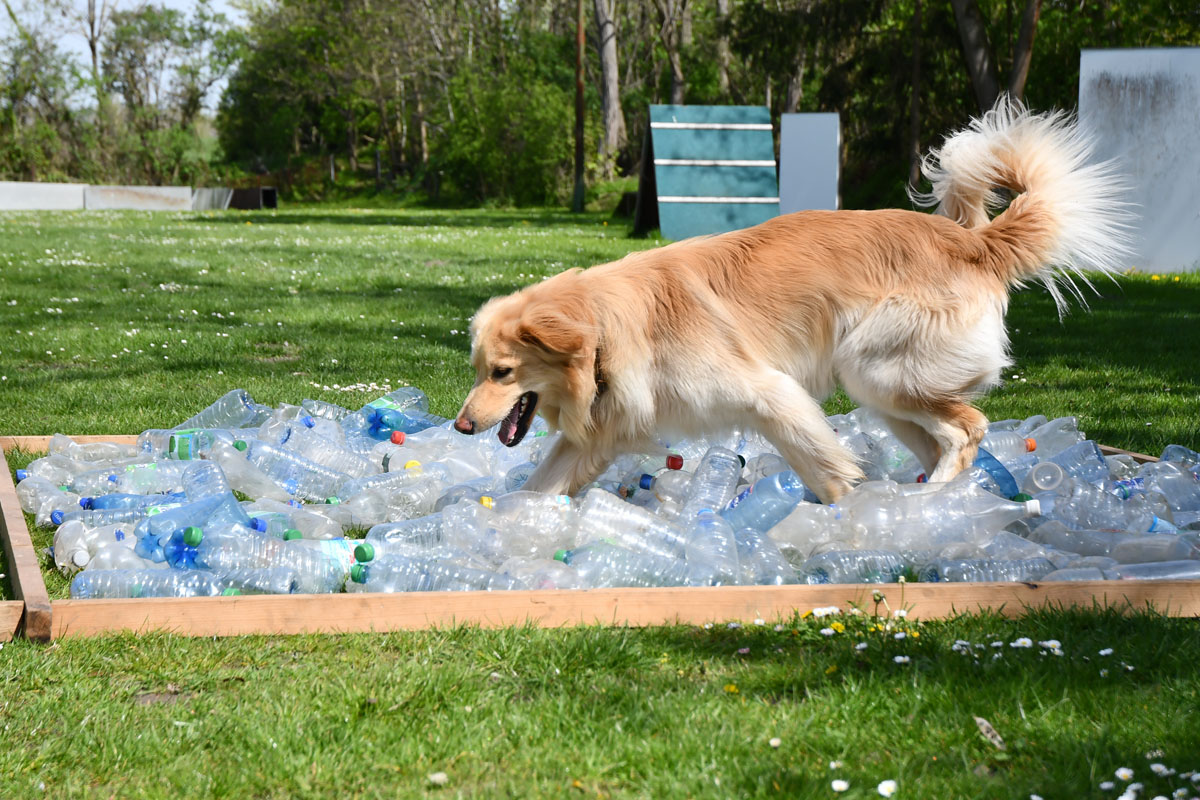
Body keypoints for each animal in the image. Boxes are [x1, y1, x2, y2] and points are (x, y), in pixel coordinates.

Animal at [453, 98, 1128, 501]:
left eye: (502, 372)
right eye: (480, 370)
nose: (460, 426)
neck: (603, 336)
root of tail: (973, 241)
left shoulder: (770, 394)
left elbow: (823, 466)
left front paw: (847, 516)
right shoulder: (598, 433)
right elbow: (538, 487)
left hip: (876, 371)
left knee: (968, 430)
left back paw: (927, 499)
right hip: (887, 393)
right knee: (949, 436)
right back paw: (931, 501)